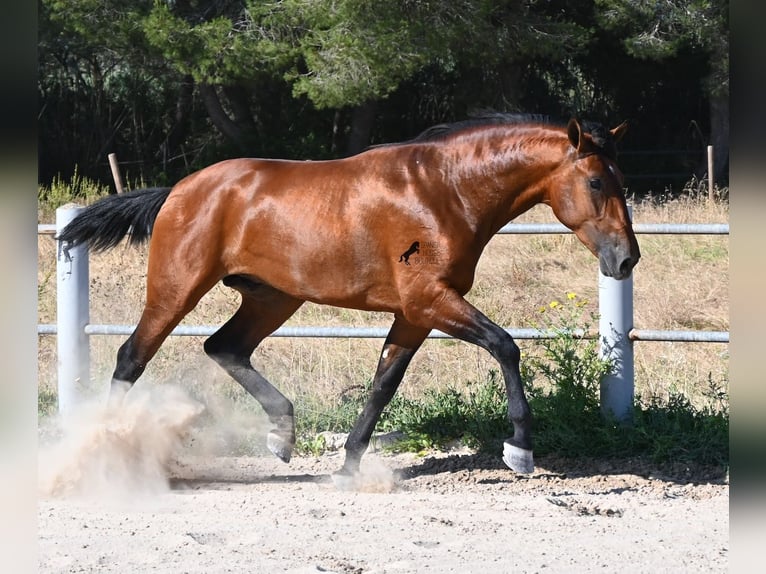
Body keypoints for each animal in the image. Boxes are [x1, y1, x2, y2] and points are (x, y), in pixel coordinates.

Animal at [58, 114, 640, 478]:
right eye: (596, 182)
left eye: (622, 177)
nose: (626, 260)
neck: (446, 191)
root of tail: (178, 190)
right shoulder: (430, 300)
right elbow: (505, 345)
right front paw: (519, 449)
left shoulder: (416, 312)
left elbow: (384, 383)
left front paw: (349, 463)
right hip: (176, 291)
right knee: (132, 357)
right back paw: (106, 451)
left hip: (272, 298)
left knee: (224, 347)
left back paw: (282, 435)